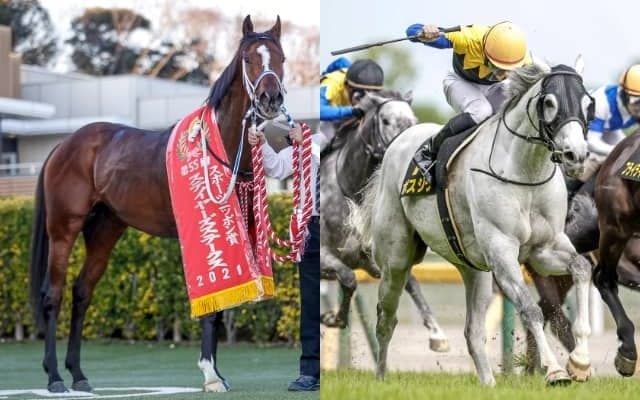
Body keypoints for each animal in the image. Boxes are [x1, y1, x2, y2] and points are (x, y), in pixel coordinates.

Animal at [29, 16, 286, 393]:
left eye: (280, 58)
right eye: (249, 58)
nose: (270, 98)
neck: (216, 146)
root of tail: (64, 145)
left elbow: (222, 305)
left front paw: (218, 373)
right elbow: (210, 307)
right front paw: (211, 375)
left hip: (105, 230)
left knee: (82, 292)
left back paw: (78, 374)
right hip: (64, 230)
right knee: (54, 294)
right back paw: (54, 378)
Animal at [320, 90, 450, 351]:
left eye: (413, 119)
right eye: (386, 121)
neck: (351, 193)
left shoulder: (375, 260)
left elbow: (411, 283)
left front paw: (437, 334)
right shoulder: (322, 256)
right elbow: (349, 279)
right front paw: (334, 318)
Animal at [349, 61, 596, 386]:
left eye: (588, 104)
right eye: (550, 102)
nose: (575, 155)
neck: (525, 172)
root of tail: (397, 144)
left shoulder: (545, 248)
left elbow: (581, 268)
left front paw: (580, 361)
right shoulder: (502, 251)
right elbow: (531, 310)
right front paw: (555, 371)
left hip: (474, 270)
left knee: (473, 332)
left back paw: (488, 383)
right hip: (395, 259)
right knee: (386, 319)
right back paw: (381, 376)